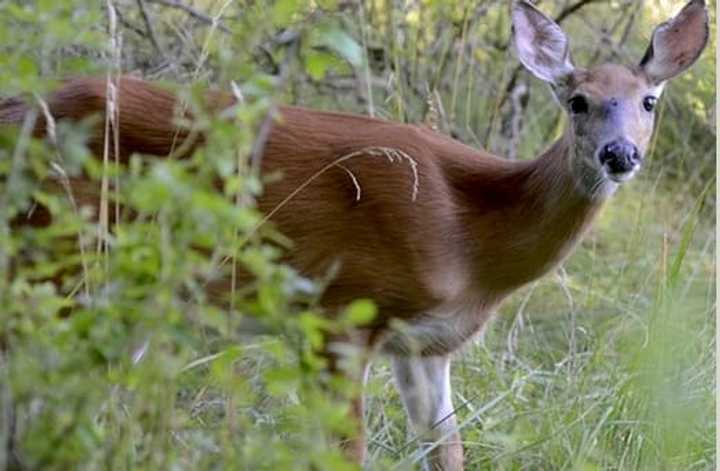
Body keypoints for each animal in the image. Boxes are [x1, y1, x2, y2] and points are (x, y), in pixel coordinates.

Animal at [0, 0, 708, 471]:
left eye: (649, 101)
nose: (620, 154)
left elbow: (447, 449)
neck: (470, 237)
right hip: (54, 255)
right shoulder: (340, 309)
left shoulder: (426, 346)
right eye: (577, 101)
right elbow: (347, 451)